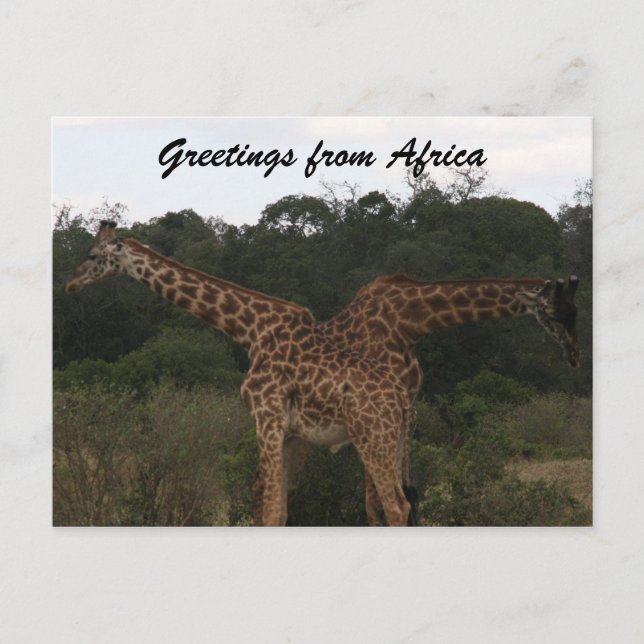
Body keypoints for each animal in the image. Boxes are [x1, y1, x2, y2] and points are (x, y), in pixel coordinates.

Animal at [65, 221, 412, 526]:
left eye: (93, 255)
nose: (70, 283)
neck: (250, 331)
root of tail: (403, 397)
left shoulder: (267, 419)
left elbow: (269, 511)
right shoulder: (289, 434)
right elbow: (279, 512)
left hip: (372, 437)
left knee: (395, 506)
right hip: (393, 442)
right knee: (403, 504)